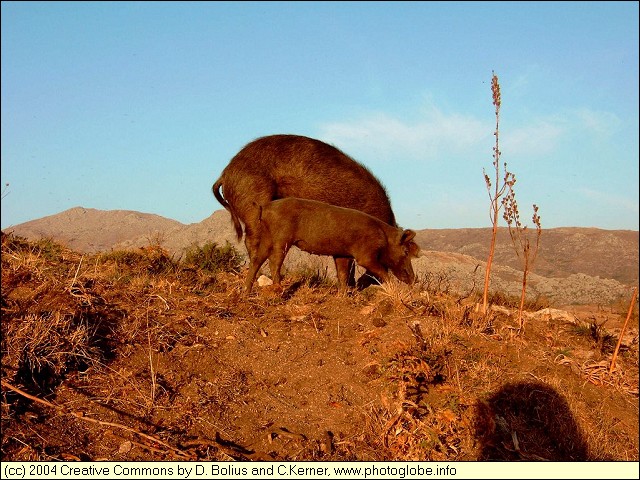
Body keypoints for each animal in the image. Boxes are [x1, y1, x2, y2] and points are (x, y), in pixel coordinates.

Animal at [244, 197, 420, 294]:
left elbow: (342, 274)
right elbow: (381, 270)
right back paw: (278, 288)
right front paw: (393, 287)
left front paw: (343, 294)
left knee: (257, 258)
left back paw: (246, 291)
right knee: (274, 261)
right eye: (405, 251)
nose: (414, 279)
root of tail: (265, 207)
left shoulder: (342, 254)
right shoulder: (365, 255)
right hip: (282, 237)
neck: (384, 238)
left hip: (266, 236)